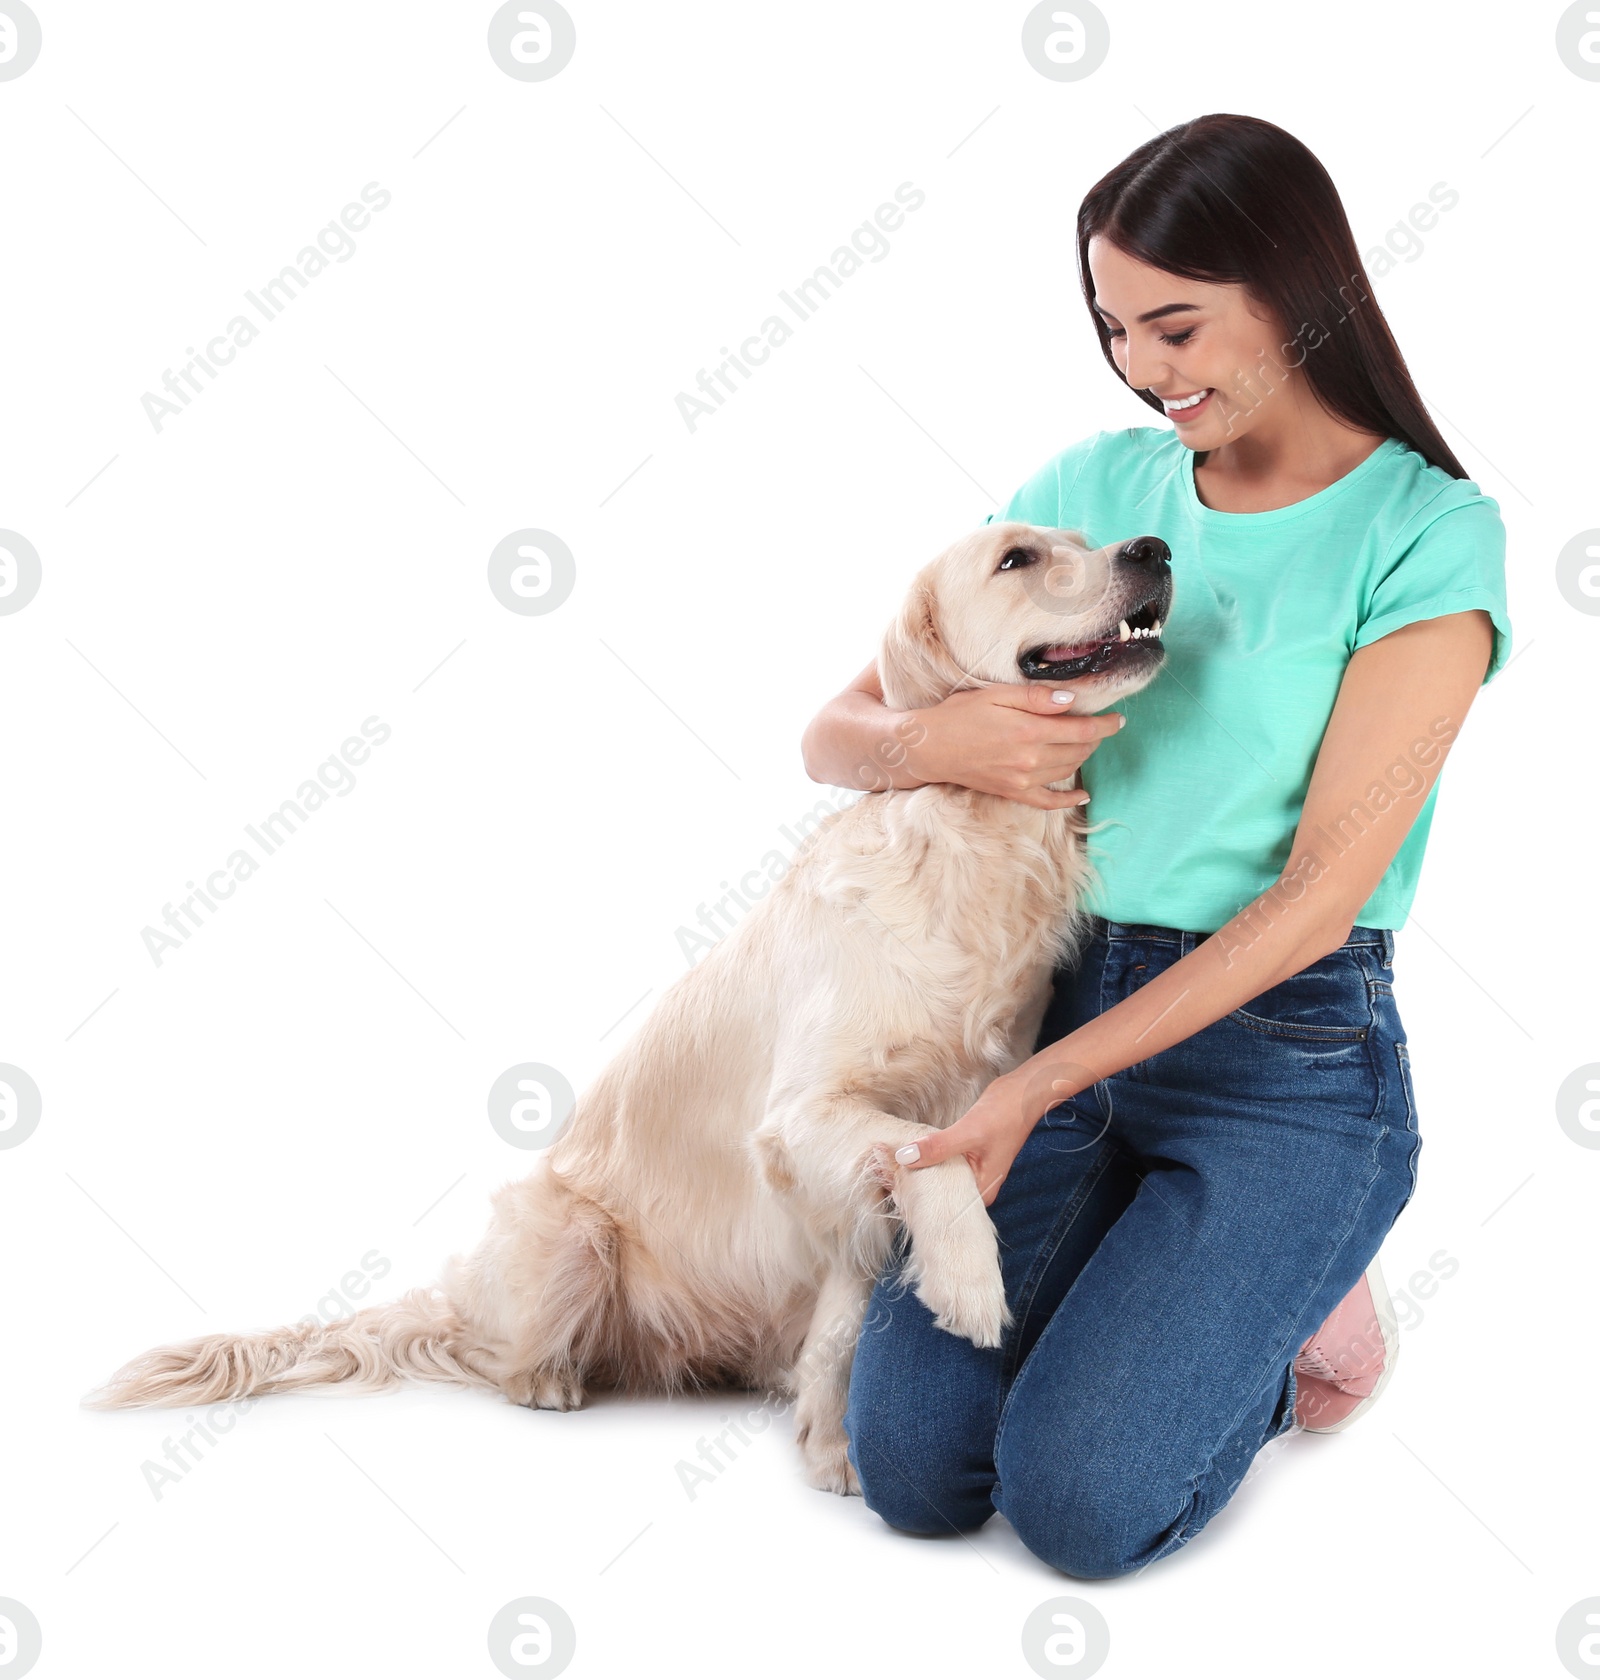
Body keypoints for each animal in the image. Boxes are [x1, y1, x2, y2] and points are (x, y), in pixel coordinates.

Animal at [93, 517, 1176, 1491]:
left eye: (1085, 538)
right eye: (1018, 558)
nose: (1155, 548)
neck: (971, 838)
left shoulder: (926, 1123)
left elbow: (848, 1302)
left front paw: (830, 1444)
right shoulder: (806, 1116)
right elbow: (928, 1166)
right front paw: (968, 1284)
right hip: (570, 1232)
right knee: (490, 1355)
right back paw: (550, 1380)